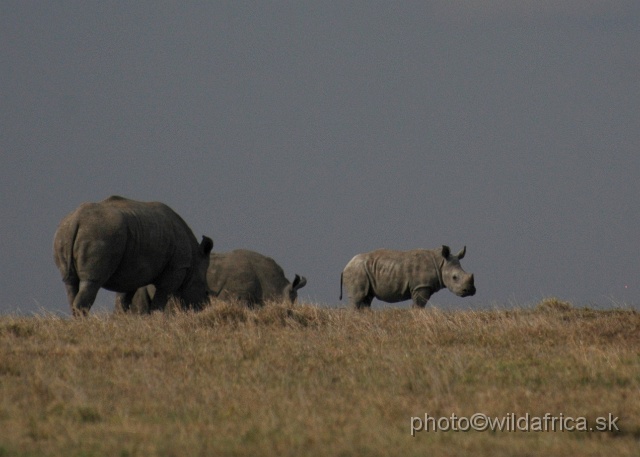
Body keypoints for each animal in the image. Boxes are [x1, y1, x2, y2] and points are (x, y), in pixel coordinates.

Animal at [52, 194, 212, 316]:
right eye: (206, 292)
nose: (203, 308)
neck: (194, 259)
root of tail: (76, 219)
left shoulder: (130, 272)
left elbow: (124, 299)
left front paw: (122, 319)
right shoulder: (177, 267)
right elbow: (160, 300)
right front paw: (155, 318)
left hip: (64, 234)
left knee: (70, 283)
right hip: (98, 233)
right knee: (92, 282)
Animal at [340, 244, 476, 308]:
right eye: (454, 277)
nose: (470, 291)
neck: (441, 263)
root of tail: (346, 266)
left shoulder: (422, 286)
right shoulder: (421, 286)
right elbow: (419, 305)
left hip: (363, 270)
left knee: (366, 298)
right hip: (357, 271)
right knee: (358, 298)